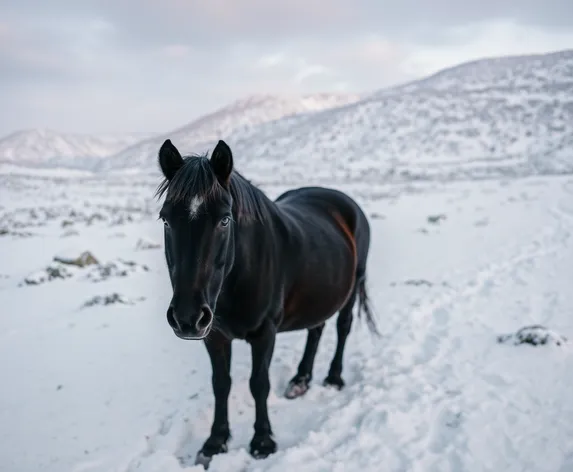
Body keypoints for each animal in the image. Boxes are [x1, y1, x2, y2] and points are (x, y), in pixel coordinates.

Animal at [156, 138, 378, 466]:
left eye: (225, 219)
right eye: (166, 219)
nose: (187, 317)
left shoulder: (265, 333)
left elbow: (258, 384)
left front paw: (262, 442)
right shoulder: (215, 336)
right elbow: (220, 384)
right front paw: (214, 442)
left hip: (351, 290)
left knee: (343, 328)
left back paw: (333, 378)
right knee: (316, 329)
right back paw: (300, 380)